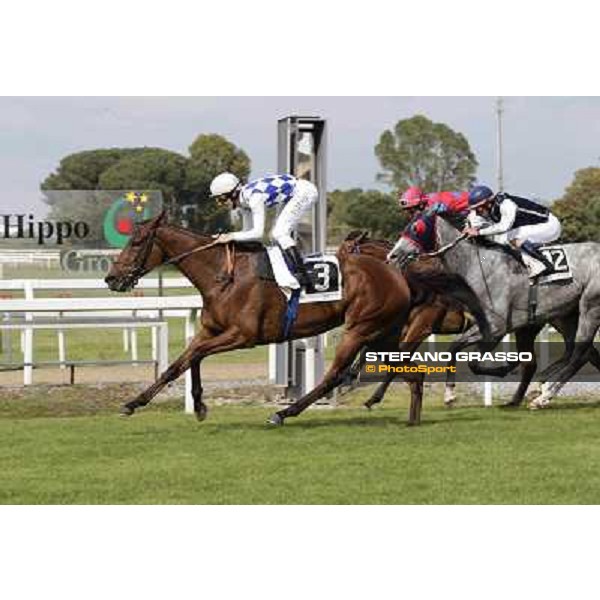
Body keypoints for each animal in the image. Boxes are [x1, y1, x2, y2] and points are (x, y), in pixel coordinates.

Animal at [105, 211, 490, 426]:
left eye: (137, 242)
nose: (111, 278)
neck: (222, 274)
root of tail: (398, 273)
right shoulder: (210, 330)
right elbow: (181, 363)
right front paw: (139, 403)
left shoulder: (242, 335)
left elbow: (193, 357)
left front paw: (196, 404)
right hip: (386, 332)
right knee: (409, 370)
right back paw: (411, 417)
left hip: (361, 328)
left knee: (334, 375)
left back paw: (285, 413)